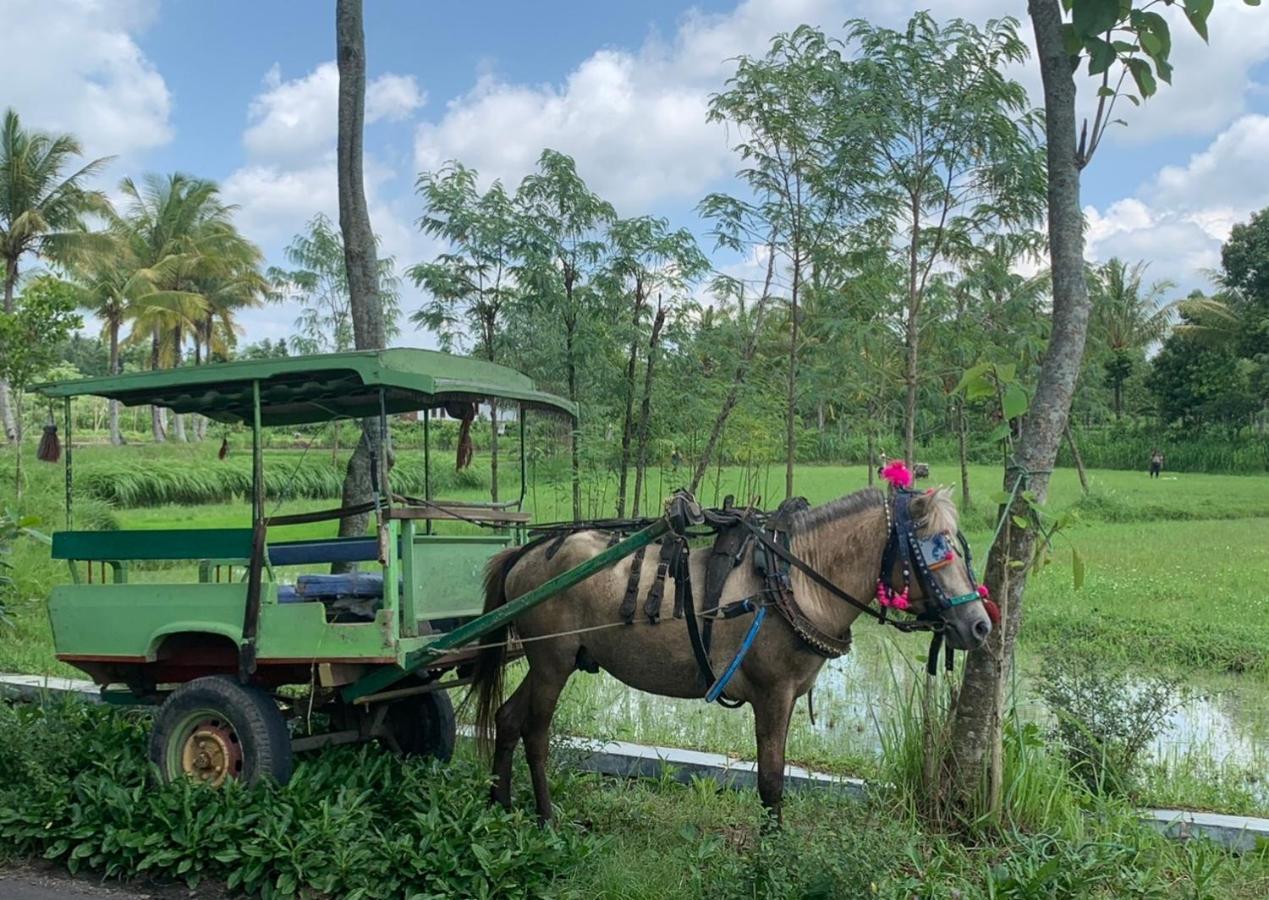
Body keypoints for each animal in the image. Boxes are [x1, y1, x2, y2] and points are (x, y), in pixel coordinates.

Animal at [472, 484, 994, 822]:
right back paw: (546, 817)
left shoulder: (786, 697)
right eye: (936, 549)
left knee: (508, 719)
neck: (791, 582)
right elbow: (771, 783)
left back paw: (499, 805)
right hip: (553, 663)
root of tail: (528, 552)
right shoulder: (772, 694)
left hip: (544, 663)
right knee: (536, 733)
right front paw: (770, 859)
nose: (980, 625)